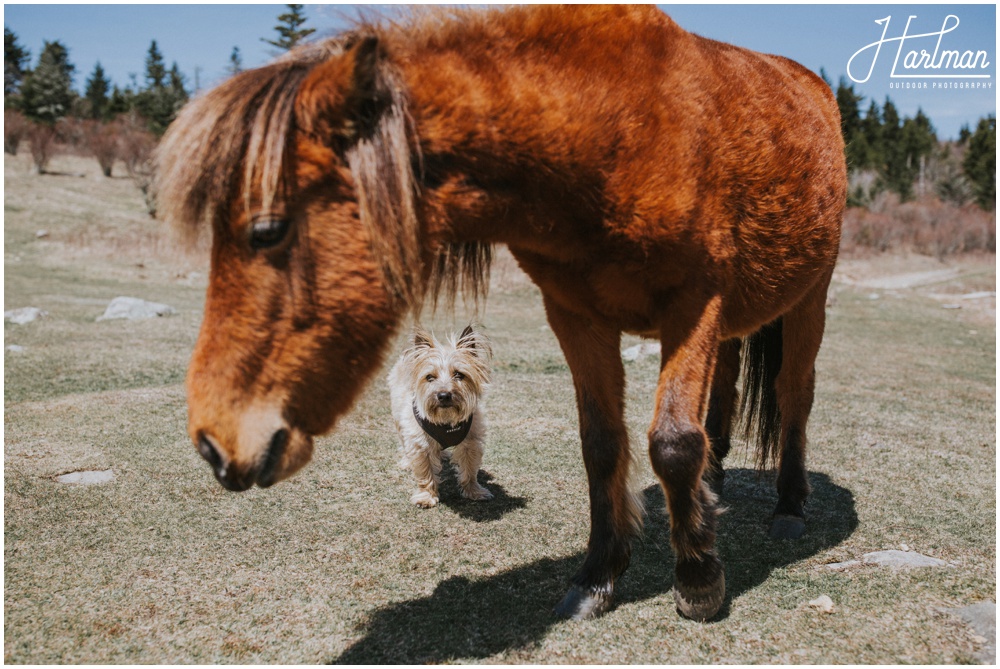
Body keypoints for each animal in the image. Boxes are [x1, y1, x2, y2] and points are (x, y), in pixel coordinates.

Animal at [392, 324, 498, 506]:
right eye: (429, 377)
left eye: (459, 374)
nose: (443, 395)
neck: (446, 419)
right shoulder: (420, 443)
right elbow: (425, 472)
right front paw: (426, 496)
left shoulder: (471, 441)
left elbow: (470, 469)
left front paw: (474, 491)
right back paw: (407, 461)